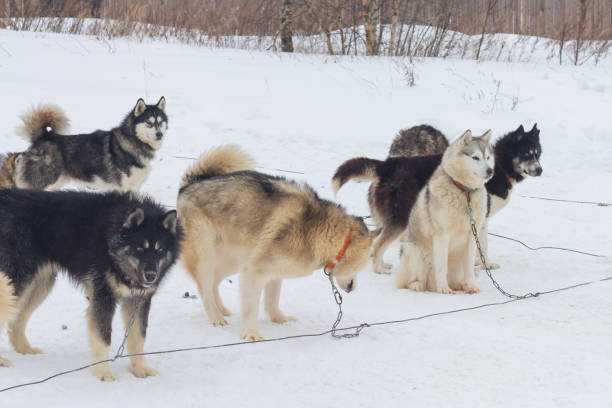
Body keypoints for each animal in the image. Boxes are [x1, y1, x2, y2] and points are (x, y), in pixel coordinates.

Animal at [177, 145, 376, 342]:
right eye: (362, 266)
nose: (353, 288)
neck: (322, 231)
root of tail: (188, 186)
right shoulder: (254, 271)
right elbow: (251, 307)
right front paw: (250, 333)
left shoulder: (272, 270)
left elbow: (273, 299)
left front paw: (279, 319)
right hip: (206, 257)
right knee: (204, 288)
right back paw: (215, 317)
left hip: (234, 261)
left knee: (214, 282)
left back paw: (222, 309)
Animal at [396, 131, 492, 294]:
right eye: (475, 157)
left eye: (488, 157)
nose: (490, 171)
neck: (464, 192)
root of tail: (430, 286)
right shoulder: (442, 235)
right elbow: (441, 267)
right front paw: (443, 289)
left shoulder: (472, 237)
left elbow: (469, 268)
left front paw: (470, 285)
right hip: (414, 251)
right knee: (408, 281)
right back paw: (419, 285)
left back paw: (460, 285)